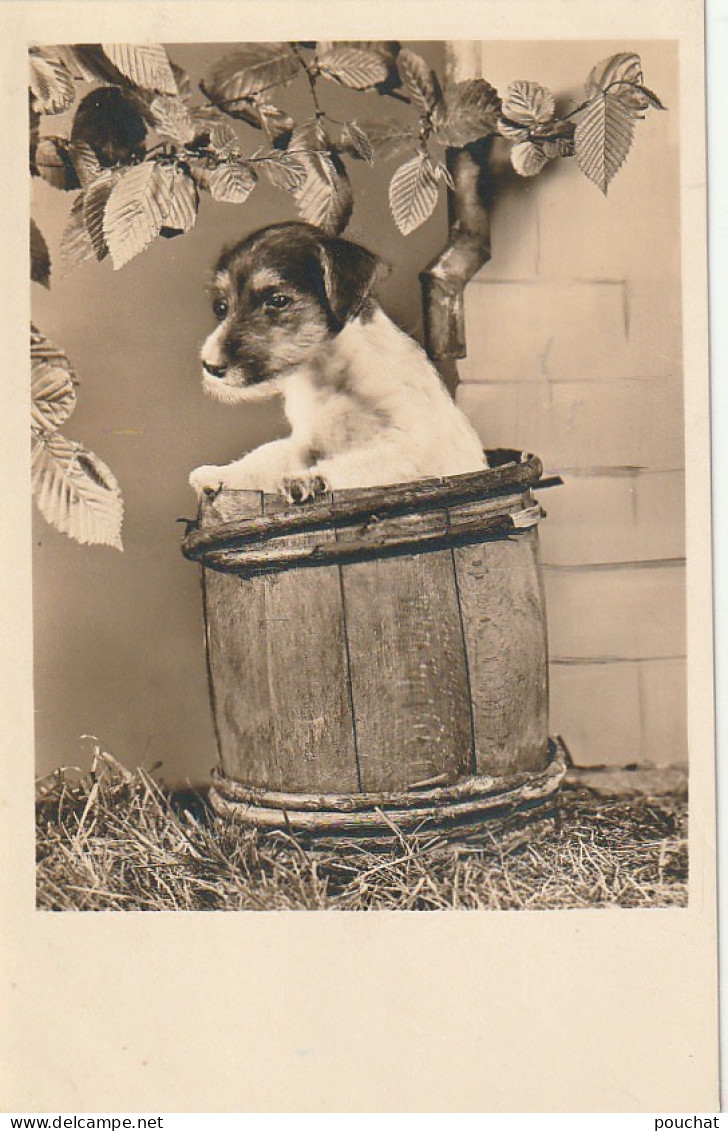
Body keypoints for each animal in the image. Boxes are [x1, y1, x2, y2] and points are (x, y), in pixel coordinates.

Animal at [187, 218, 486, 502]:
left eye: (278, 300)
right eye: (221, 307)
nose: (211, 366)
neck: (330, 377)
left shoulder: (416, 446)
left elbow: (365, 461)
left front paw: (310, 479)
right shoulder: (305, 441)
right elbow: (267, 454)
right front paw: (221, 474)